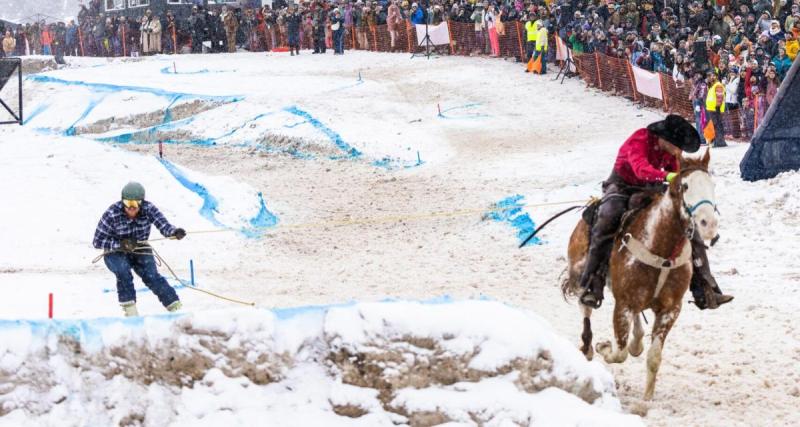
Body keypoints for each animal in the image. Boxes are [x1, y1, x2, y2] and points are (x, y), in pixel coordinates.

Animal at [564, 150, 720, 402]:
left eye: (712, 184)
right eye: (685, 185)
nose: (709, 224)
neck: (662, 249)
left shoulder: (670, 309)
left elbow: (653, 357)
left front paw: (647, 400)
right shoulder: (623, 305)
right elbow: (619, 352)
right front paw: (603, 347)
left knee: (637, 329)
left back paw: (636, 340)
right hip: (580, 278)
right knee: (585, 309)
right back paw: (587, 347)